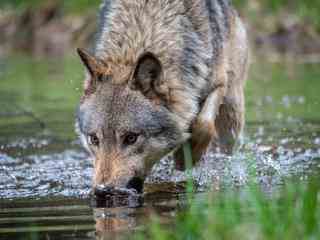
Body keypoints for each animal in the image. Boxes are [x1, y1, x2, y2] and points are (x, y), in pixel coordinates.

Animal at [76, 0, 249, 192]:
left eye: (131, 138)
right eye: (94, 139)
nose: (103, 190)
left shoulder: (218, 83)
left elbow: (204, 124)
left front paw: (186, 157)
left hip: (231, 113)